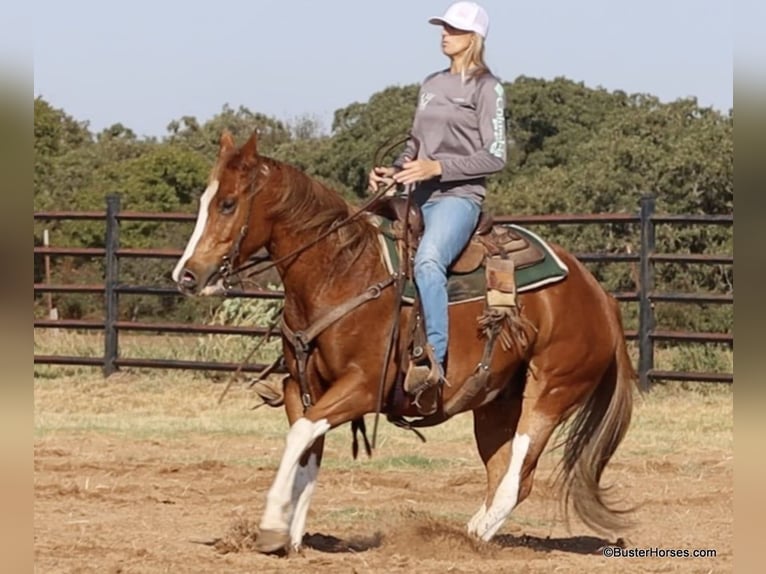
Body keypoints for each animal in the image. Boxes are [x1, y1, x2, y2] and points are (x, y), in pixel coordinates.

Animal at [171, 130, 637, 555]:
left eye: (228, 203)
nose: (187, 275)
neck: (342, 273)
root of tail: (600, 296)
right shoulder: (304, 385)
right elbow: (306, 449)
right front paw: (293, 535)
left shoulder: (362, 388)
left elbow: (300, 435)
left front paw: (271, 528)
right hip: (494, 402)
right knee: (503, 473)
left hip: (551, 393)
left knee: (516, 477)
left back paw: (464, 541)